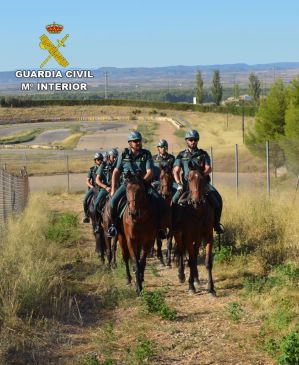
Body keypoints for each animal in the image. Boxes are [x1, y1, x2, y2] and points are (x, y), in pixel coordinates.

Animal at [175, 162, 217, 296]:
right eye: (188, 179)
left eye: (203, 179)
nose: (196, 202)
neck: (197, 212)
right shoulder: (188, 237)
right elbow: (191, 260)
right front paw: (191, 286)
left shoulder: (208, 237)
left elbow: (208, 262)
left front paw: (211, 288)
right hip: (178, 235)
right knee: (181, 252)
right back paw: (182, 275)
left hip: (197, 239)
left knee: (194, 252)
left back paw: (196, 278)